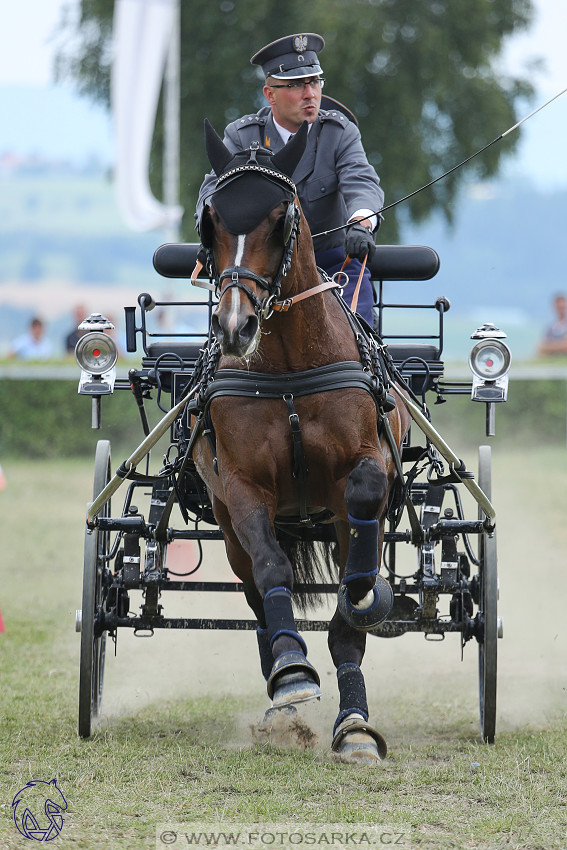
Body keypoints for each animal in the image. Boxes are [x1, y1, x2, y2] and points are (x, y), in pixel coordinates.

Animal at [193, 119, 410, 760]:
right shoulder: (243, 487)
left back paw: (355, 724)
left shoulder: (361, 476)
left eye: (278, 218)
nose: (235, 327)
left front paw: (365, 601)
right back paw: (280, 694)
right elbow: (272, 573)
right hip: (230, 525)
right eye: (210, 221)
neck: (289, 366)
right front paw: (291, 672)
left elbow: (353, 592)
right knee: (258, 599)